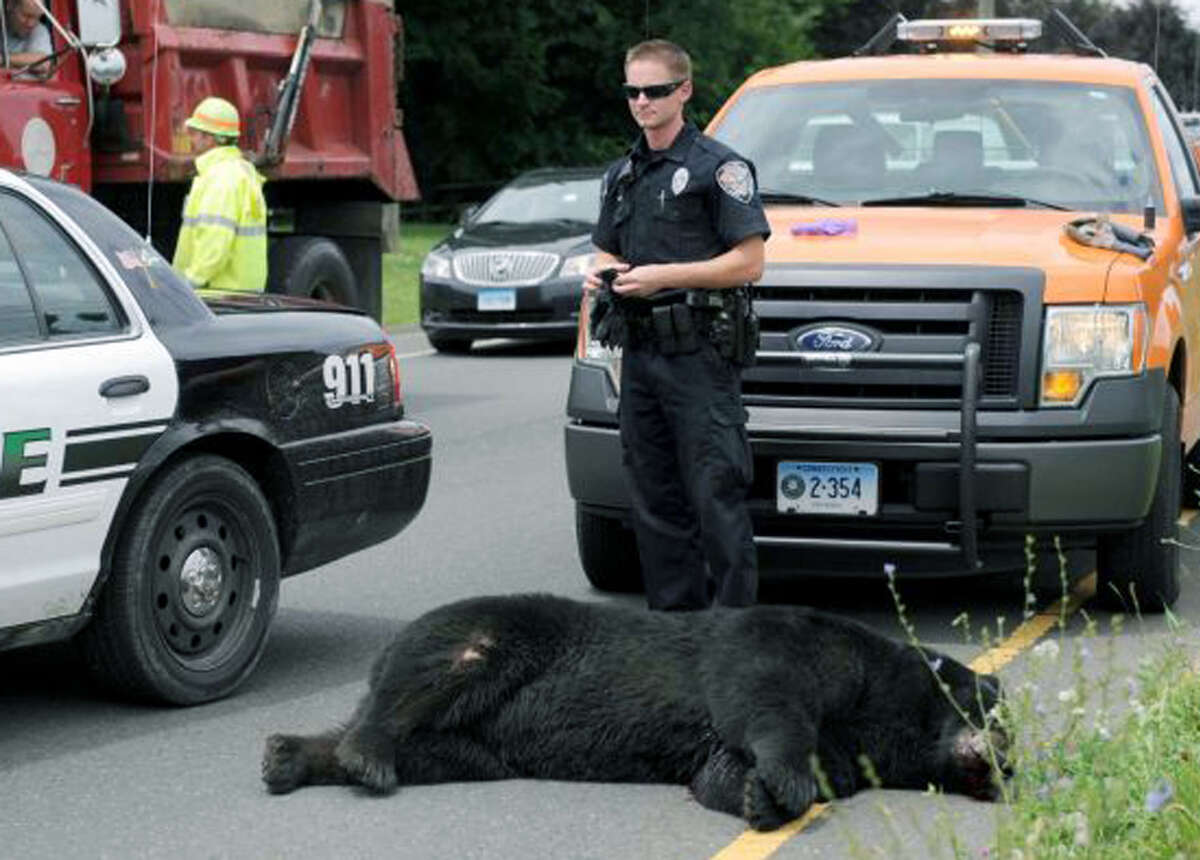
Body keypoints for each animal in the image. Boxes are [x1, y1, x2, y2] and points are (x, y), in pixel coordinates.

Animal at [262, 593, 1008, 831]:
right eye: (1001, 720)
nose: (1005, 767)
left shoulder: (856, 745)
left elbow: (720, 767)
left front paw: (757, 795)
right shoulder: (806, 643)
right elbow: (765, 690)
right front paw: (785, 778)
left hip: (479, 744)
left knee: (434, 751)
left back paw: (293, 754)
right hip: (497, 632)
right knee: (436, 671)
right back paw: (364, 751)